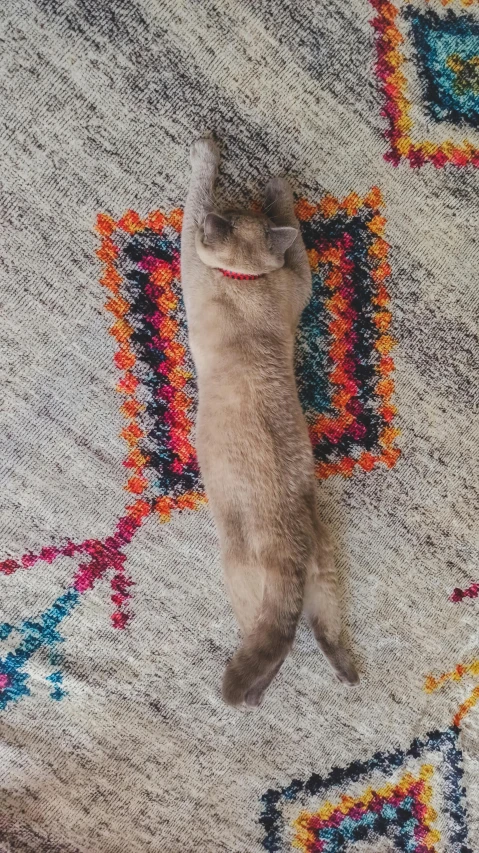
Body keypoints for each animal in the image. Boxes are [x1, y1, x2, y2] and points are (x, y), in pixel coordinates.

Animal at [182, 135, 358, 704]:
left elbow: (194, 196)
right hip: (325, 574)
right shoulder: (298, 280)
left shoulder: (191, 254)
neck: (246, 279)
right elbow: (292, 231)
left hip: (241, 575)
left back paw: (249, 697)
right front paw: (278, 186)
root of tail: (291, 552)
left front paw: (206, 151)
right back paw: (346, 674)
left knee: (268, 639)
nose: (222, 214)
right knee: (321, 628)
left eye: (224, 216)